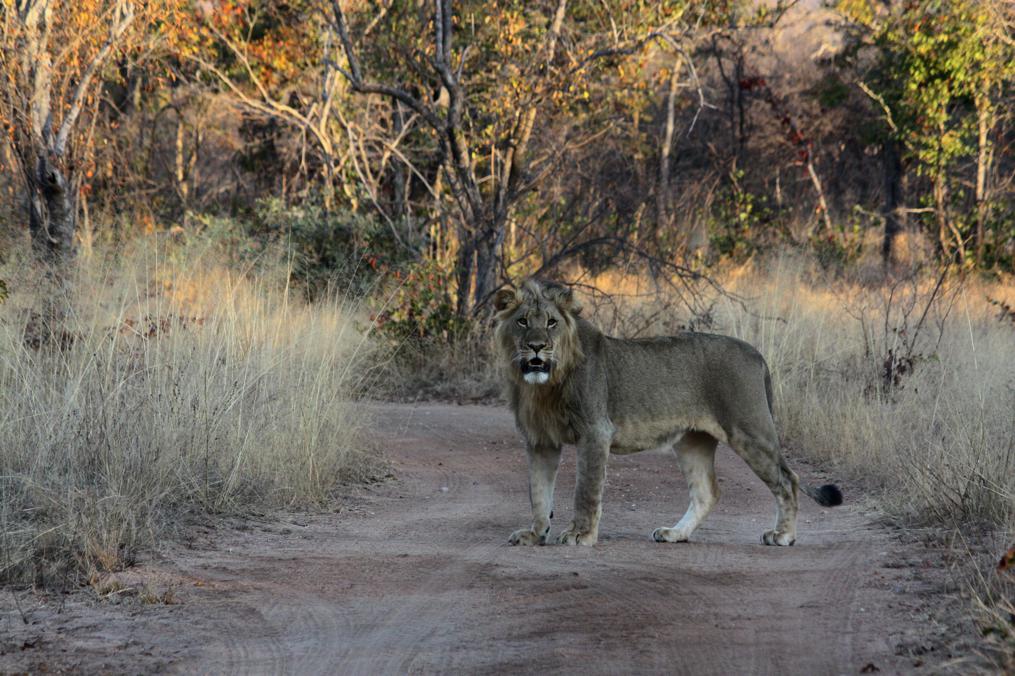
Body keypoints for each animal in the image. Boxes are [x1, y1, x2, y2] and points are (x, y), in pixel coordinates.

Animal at [493, 279, 842, 547]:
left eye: (551, 322)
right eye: (523, 321)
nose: (536, 347)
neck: (543, 387)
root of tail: (756, 353)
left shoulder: (595, 431)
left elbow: (586, 491)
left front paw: (581, 535)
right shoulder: (540, 441)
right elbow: (538, 492)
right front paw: (535, 534)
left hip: (749, 430)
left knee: (788, 479)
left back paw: (783, 536)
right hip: (693, 440)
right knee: (707, 492)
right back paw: (675, 533)